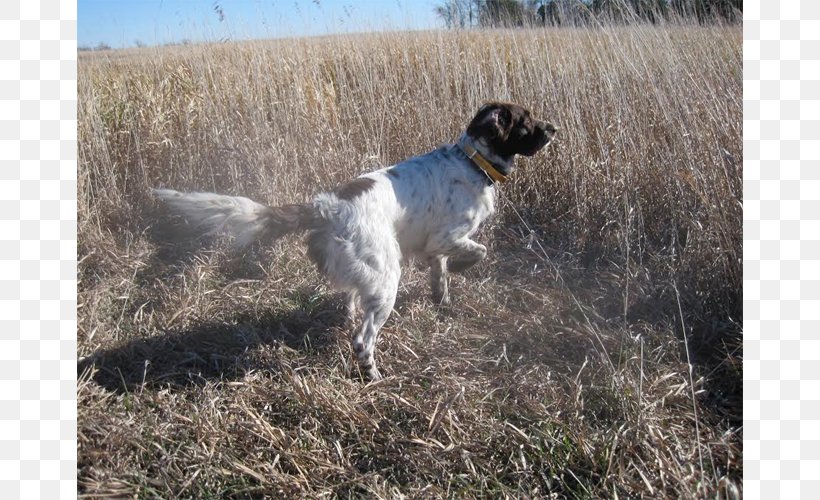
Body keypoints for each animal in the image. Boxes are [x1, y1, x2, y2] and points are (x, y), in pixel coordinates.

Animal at [154, 101, 556, 378]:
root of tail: (329, 207)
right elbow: (477, 251)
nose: (553, 127)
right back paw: (372, 374)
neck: (470, 160)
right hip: (387, 278)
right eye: (525, 120)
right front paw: (461, 267)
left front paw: (442, 301)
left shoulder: (436, 250)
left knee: (350, 300)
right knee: (363, 339)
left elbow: (440, 276)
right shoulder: (445, 237)